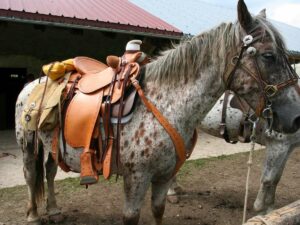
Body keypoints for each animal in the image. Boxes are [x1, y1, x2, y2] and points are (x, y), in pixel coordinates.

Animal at [15, 1, 300, 225]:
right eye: (268, 55)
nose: (296, 116)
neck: (166, 105)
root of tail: (33, 83)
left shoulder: (163, 177)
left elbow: (158, 210)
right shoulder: (136, 179)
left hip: (52, 145)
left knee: (50, 172)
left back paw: (54, 210)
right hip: (28, 145)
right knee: (31, 175)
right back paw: (33, 215)